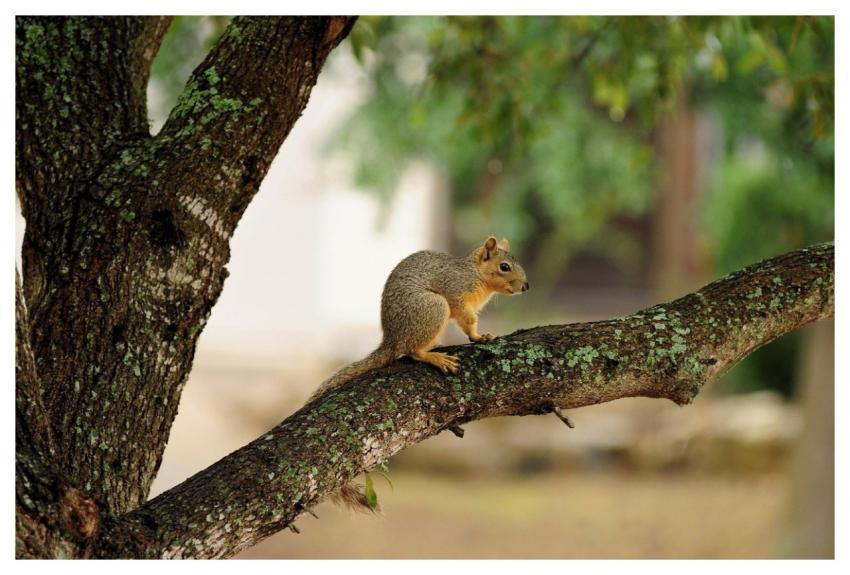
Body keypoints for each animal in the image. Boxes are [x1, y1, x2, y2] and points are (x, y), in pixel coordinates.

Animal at [307, 235, 529, 511]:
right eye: (504, 267)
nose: (526, 286)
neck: (475, 274)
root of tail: (392, 340)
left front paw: (483, 336)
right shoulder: (455, 293)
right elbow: (467, 320)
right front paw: (478, 336)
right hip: (433, 308)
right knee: (413, 351)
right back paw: (435, 357)